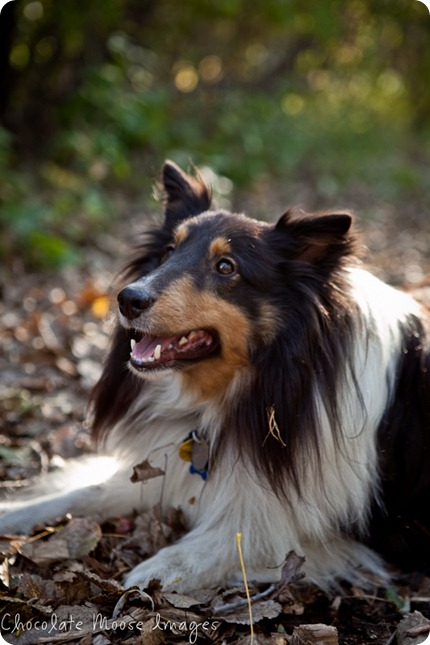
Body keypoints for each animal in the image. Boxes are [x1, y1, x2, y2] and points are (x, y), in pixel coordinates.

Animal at [0, 161, 430, 592]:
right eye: (168, 252)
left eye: (226, 267)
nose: (127, 299)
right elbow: (87, 492)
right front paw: (13, 509)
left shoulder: (324, 527)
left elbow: (233, 539)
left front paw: (153, 572)